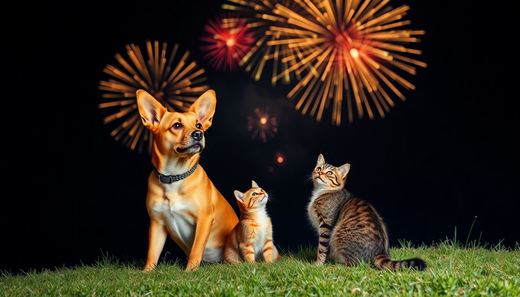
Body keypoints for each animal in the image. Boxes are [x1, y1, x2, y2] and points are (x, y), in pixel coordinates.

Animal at [135, 88, 239, 270]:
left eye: (198, 125)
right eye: (177, 125)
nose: (199, 134)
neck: (174, 176)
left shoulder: (204, 219)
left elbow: (196, 250)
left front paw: (190, 271)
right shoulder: (157, 223)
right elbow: (152, 253)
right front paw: (147, 272)